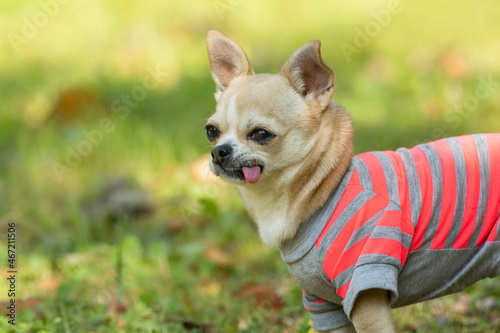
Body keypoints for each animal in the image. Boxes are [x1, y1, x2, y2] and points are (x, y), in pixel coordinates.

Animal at [203, 29, 500, 330]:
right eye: (211, 131)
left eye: (261, 134)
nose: (219, 151)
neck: (325, 187)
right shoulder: (322, 303)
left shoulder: (365, 290)